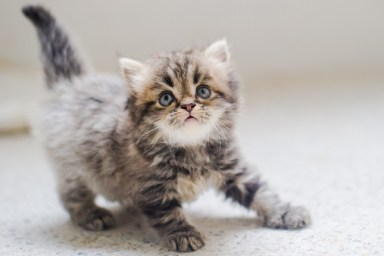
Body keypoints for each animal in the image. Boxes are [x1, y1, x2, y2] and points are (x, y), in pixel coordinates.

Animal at [22, 5, 310, 252]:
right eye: (166, 98)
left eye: (202, 91)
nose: (188, 106)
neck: (191, 148)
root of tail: (71, 83)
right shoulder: (153, 188)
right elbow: (168, 214)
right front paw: (184, 234)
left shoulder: (232, 168)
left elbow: (261, 192)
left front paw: (285, 212)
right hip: (75, 167)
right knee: (69, 194)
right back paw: (91, 214)